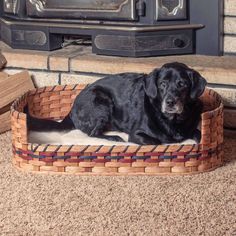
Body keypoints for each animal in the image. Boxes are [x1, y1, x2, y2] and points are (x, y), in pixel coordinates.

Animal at [27, 61, 206, 145]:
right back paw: (115, 138)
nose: (170, 102)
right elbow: (156, 141)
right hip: (101, 101)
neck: (172, 120)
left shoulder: (192, 128)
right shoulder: (137, 134)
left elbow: (199, 134)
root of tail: (71, 110)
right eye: (162, 84)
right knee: (93, 133)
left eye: (182, 84)